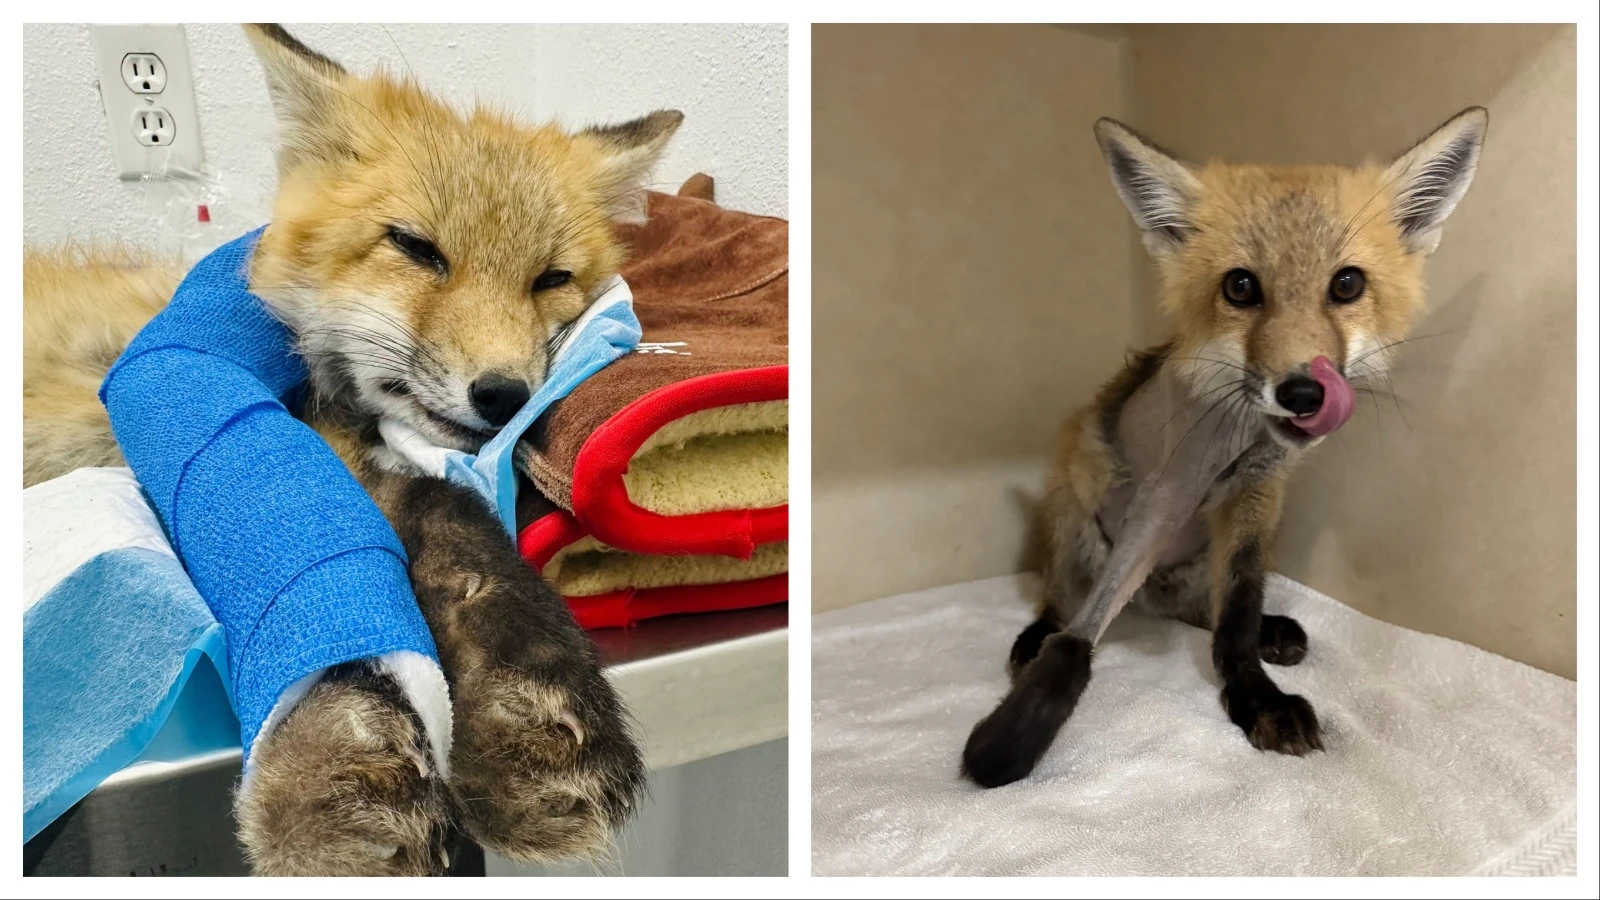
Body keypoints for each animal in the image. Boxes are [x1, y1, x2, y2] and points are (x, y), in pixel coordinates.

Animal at [23, 25, 685, 874]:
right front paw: (342, 757)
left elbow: (451, 511)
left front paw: (530, 695)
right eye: (416, 248)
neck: (324, 399)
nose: (503, 395)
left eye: (551, 278)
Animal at [961, 107, 1488, 788]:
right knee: (1063, 598)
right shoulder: (1168, 489)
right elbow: (1082, 631)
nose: (1303, 393)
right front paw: (1011, 737)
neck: (1242, 437)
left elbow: (1236, 613)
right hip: (1072, 513)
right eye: (1240, 287)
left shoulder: (1256, 495)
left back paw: (1268, 631)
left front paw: (1254, 695)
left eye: (1347, 284)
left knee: (1204, 608)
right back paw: (1036, 635)